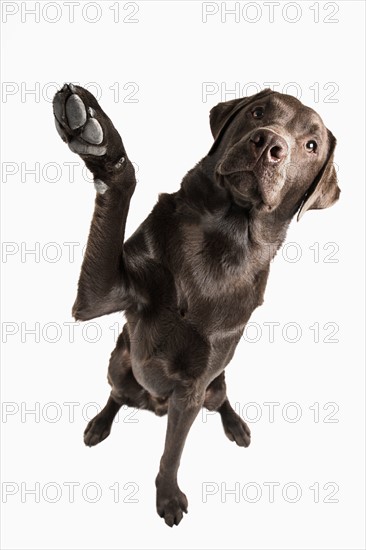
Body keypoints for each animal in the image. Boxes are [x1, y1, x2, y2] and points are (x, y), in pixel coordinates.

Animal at [52, 85, 340, 528]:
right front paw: (100, 140)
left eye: (311, 144)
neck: (221, 236)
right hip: (119, 365)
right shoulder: (97, 297)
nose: (268, 144)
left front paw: (168, 496)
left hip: (213, 386)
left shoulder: (192, 389)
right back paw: (100, 424)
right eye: (258, 112)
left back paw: (236, 425)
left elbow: (173, 451)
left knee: (220, 400)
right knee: (116, 393)